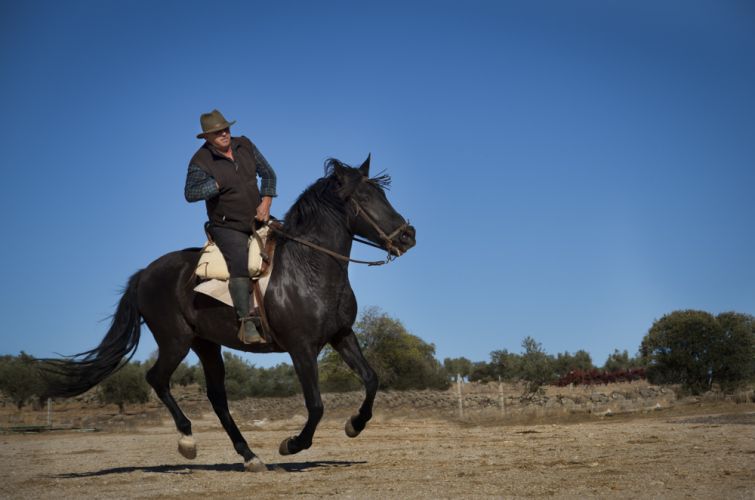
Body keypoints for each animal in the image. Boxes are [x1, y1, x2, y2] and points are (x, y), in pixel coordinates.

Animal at [41, 155, 416, 471]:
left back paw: (250, 456)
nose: (408, 236)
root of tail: (144, 274)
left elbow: (371, 380)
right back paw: (188, 442)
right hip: (176, 341)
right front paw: (291, 444)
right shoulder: (301, 348)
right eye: (364, 197)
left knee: (217, 398)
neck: (309, 268)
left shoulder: (341, 336)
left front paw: (354, 425)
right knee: (157, 379)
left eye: (382, 195)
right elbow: (316, 405)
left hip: (206, 345)